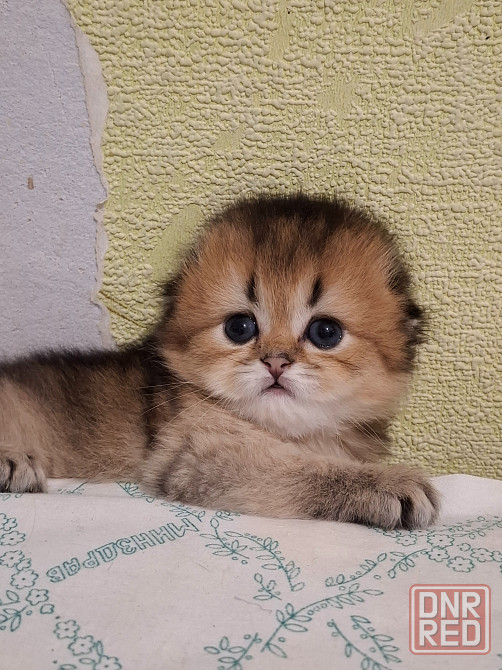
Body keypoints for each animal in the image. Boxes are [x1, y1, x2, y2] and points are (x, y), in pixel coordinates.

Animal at [0, 194, 439, 529]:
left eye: (325, 333)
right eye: (240, 327)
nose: (275, 363)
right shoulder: (195, 455)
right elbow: (298, 467)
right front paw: (384, 484)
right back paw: (12, 464)